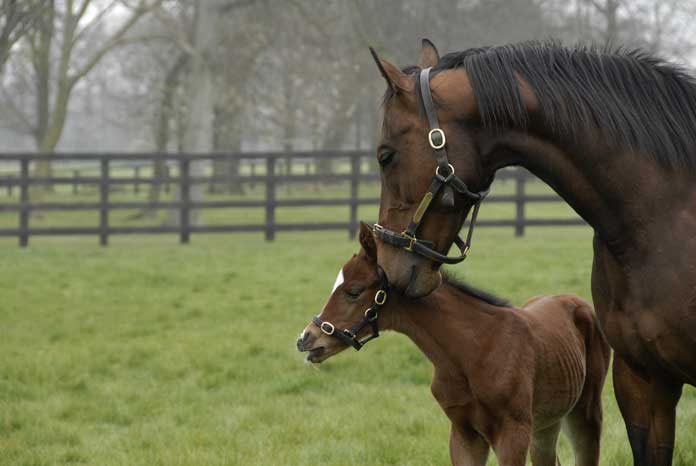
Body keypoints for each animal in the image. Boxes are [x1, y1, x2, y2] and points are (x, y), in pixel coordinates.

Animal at [296, 223, 612, 466]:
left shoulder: (513, 432)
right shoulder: (463, 434)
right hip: (546, 424)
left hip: (585, 412)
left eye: (353, 291)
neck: (469, 353)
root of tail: (573, 300)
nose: (305, 339)